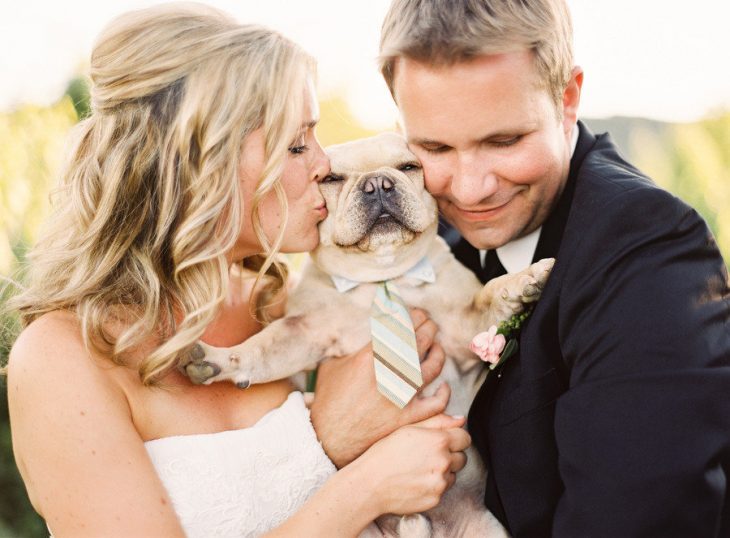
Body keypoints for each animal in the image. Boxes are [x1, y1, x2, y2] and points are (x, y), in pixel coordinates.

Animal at [182, 132, 552, 532]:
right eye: (331, 179)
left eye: (410, 166)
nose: (377, 183)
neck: (381, 278)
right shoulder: (303, 332)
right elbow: (261, 348)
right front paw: (218, 361)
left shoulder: (464, 323)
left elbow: (491, 296)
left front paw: (524, 279)